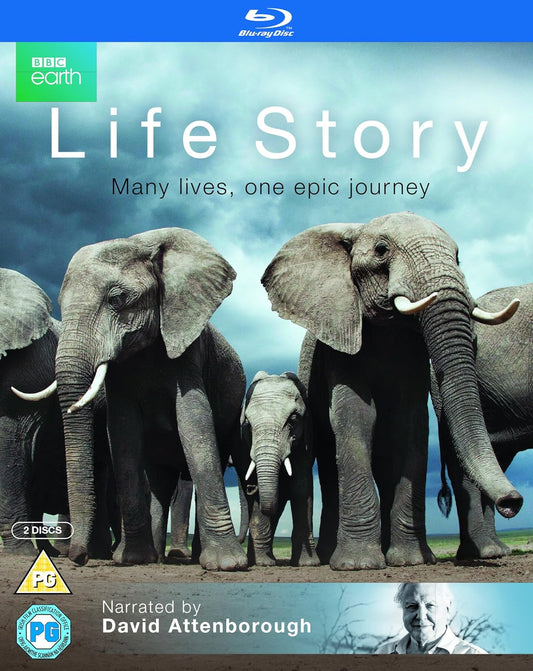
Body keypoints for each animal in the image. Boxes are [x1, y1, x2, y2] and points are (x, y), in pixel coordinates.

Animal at [48, 227, 247, 571]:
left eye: (116, 299)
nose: (79, 557)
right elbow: (123, 432)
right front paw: (131, 559)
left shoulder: (189, 349)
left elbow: (195, 421)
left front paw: (228, 565)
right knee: (159, 484)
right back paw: (154, 559)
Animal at [239, 371, 319, 567]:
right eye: (248, 425)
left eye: (293, 420)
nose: (251, 488)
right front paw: (264, 564)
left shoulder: (306, 440)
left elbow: (301, 487)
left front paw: (309, 563)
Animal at [261, 211, 522, 570]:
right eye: (382, 250)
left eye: (458, 257)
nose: (513, 502)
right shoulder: (342, 343)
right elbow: (356, 416)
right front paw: (359, 565)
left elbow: (409, 424)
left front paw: (410, 562)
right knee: (328, 462)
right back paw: (330, 556)